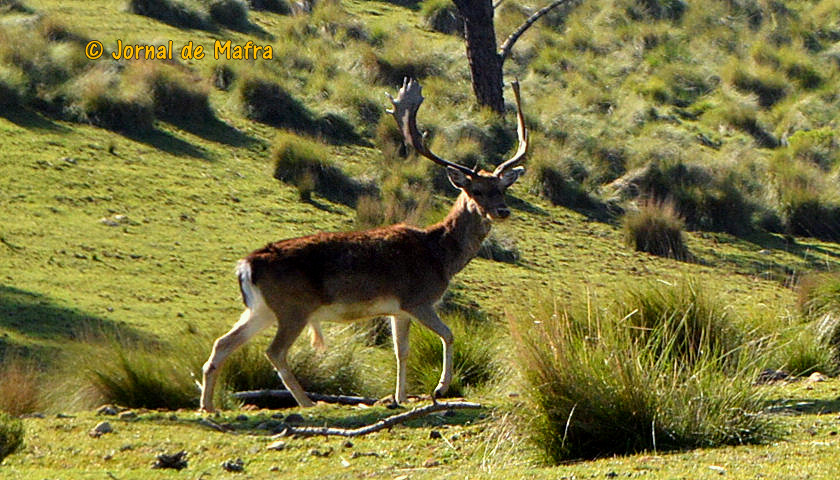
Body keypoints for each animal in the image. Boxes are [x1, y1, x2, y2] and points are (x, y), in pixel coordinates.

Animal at [200, 79, 524, 412]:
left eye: (502, 188)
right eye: (476, 190)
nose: (502, 211)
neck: (440, 256)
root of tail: (246, 266)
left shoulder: (397, 310)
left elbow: (401, 351)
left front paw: (400, 398)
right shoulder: (417, 298)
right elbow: (448, 335)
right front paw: (440, 387)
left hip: (261, 308)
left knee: (222, 343)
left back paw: (208, 406)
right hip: (293, 307)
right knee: (274, 351)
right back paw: (307, 402)